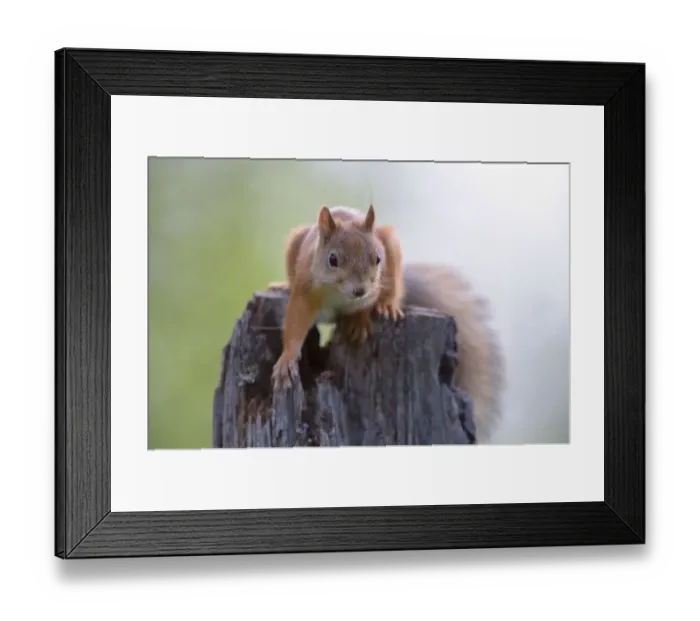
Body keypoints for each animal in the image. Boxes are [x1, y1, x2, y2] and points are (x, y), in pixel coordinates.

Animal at [269, 203, 504, 442]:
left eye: (377, 258)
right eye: (333, 259)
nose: (359, 289)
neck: (338, 295)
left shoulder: (374, 288)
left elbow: (366, 305)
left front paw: (359, 321)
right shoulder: (304, 291)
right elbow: (295, 325)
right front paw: (286, 361)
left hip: (390, 242)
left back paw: (388, 305)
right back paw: (282, 286)